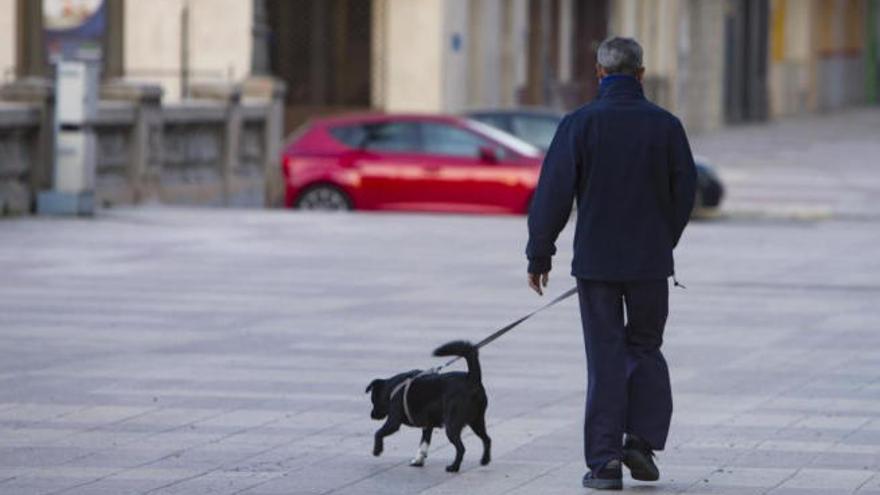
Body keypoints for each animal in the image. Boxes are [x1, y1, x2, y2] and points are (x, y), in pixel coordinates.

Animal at [362, 340, 488, 472]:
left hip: (452, 425)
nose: (372, 415)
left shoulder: (393, 422)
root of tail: (472, 378)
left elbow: (378, 433)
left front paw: (377, 450)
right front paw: (418, 460)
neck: (392, 389)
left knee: (461, 448)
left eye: (373, 400)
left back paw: (454, 467)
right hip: (477, 421)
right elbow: (424, 443)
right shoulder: (428, 425)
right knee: (487, 439)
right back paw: (485, 460)